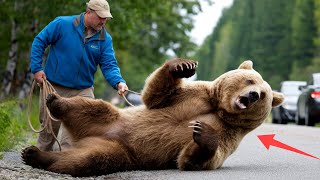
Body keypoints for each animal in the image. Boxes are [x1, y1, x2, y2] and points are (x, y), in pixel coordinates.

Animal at [21, 58, 284, 176]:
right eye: (249, 80)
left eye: (263, 94)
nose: (252, 95)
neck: (220, 110)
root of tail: (87, 137)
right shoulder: (197, 96)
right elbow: (157, 96)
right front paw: (181, 66)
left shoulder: (229, 133)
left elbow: (195, 159)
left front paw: (202, 132)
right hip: (109, 119)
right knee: (89, 107)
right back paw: (55, 101)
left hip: (118, 153)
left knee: (88, 160)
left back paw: (37, 155)